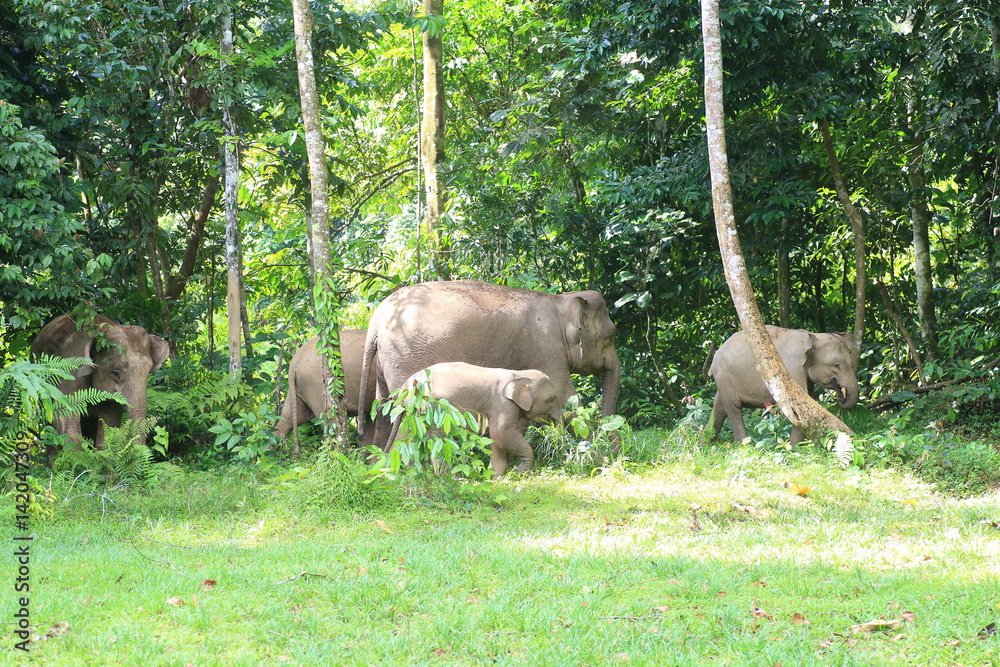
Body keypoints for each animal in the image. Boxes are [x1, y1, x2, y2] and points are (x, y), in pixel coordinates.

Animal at [359, 280, 621, 450]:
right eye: (610, 337)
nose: (617, 452)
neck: (561, 302)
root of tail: (377, 319)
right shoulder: (547, 348)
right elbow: (566, 398)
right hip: (407, 356)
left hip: (388, 362)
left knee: (383, 410)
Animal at [389, 362, 563, 476]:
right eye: (552, 400)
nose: (555, 437)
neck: (519, 374)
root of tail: (407, 386)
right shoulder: (502, 404)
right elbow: (502, 434)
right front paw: (520, 472)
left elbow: (496, 441)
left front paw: (496, 478)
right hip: (436, 409)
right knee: (439, 442)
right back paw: (448, 478)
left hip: (412, 412)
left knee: (403, 439)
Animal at [708, 325, 860, 446]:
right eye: (837, 365)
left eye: (852, 364)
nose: (841, 396)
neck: (812, 335)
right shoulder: (792, 368)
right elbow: (798, 405)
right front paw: (795, 448)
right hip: (724, 375)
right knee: (734, 407)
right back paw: (744, 445)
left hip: (723, 379)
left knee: (719, 407)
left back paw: (706, 442)